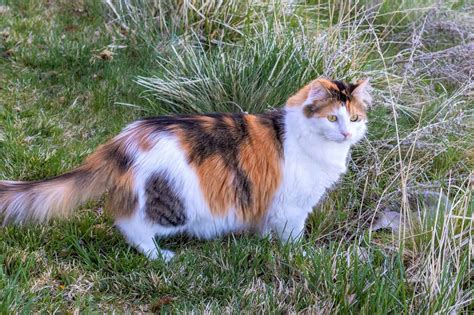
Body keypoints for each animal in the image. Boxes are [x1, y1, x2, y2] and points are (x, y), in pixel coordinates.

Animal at [0, 78, 370, 260]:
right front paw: (299, 254)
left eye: (354, 119)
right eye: (332, 118)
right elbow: (292, 236)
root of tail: (124, 141)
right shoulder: (292, 206)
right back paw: (160, 257)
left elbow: (269, 231)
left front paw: (267, 244)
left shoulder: (273, 206)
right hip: (176, 205)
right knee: (131, 226)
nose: (346, 133)